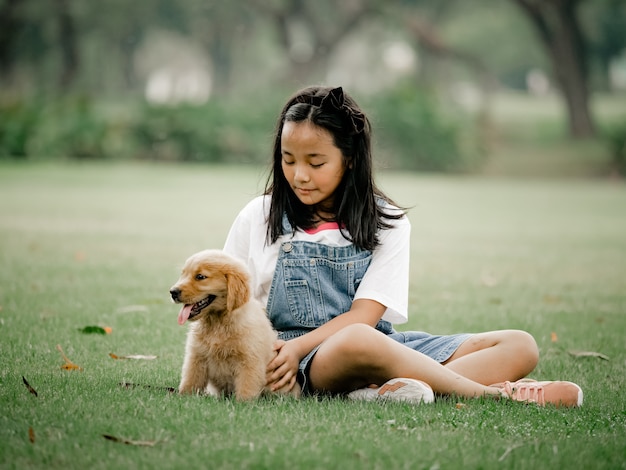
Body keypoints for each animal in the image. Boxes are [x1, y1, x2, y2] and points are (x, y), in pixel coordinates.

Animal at [169, 250, 298, 400]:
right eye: (183, 274)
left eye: (200, 276)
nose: (173, 292)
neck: (218, 322)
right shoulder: (196, 356)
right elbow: (191, 379)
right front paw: (183, 397)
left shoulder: (249, 360)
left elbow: (247, 385)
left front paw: (243, 403)